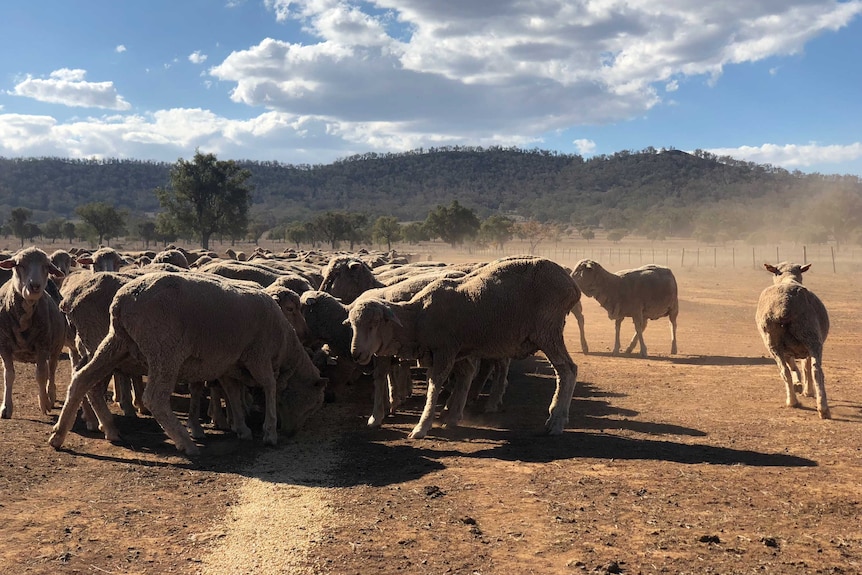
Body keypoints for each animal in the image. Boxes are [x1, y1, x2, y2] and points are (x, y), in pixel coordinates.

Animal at [0, 246, 68, 418]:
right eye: (19, 265)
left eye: (47, 266)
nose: (35, 286)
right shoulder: (3, 346)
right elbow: (8, 375)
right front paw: (6, 407)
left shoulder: (43, 345)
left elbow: (41, 376)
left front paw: (44, 403)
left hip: (56, 347)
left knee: (51, 370)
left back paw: (51, 395)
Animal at [49, 272, 328, 456]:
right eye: (314, 403)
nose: (292, 433)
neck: (287, 343)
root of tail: (122, 301)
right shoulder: (258, 355)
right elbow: (269, 387)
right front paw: (269, 433)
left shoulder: (229, 364)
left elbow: (233, 393)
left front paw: (241, 428)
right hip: (164, 351)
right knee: (154, 397)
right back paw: (186, 443)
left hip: (116, 342)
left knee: (82, 379)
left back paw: (64, 434)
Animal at [348, 254, 584, 438]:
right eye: (352, 324)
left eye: (374, 324)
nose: (355, 354)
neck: (419, 317)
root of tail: (572, 285)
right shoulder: (457, 350)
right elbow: (462, 377)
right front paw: (451, 417)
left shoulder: (445, 350)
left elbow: (434, 384)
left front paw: (422, 427)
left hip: (548, 331)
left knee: (568, 370)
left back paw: (556, 421)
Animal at [760, 260, 832, 418]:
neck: (787, 278)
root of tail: (784, 305)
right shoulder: (805, 349)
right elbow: (805, 367)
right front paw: (806, 390)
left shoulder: (789, 350)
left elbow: (794, 366)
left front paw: (798, 385)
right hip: (811, 337)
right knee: (816, 371)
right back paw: (822, 408)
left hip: (772, 341)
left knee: (784, 371)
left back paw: (793, 401)